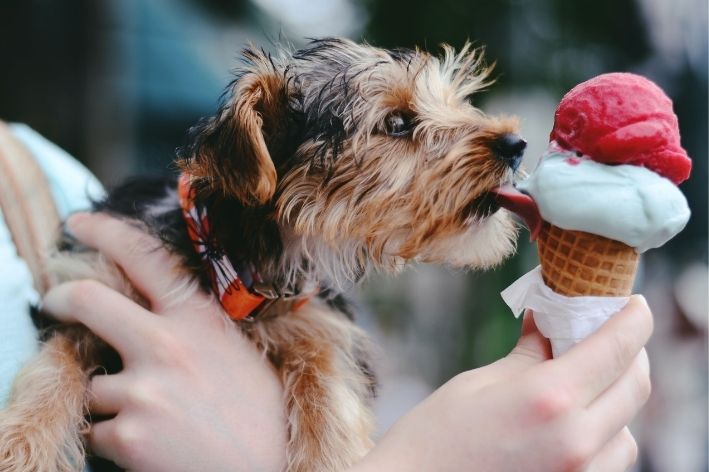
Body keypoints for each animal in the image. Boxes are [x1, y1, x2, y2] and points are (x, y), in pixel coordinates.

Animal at [0, 37, 520, 472]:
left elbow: (326, 381)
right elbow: (55, 363)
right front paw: (22, 447)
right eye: (396, 123)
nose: (516, 144)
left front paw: (327, 455)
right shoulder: (90, 283)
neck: (230, 258)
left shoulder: (319, 321)